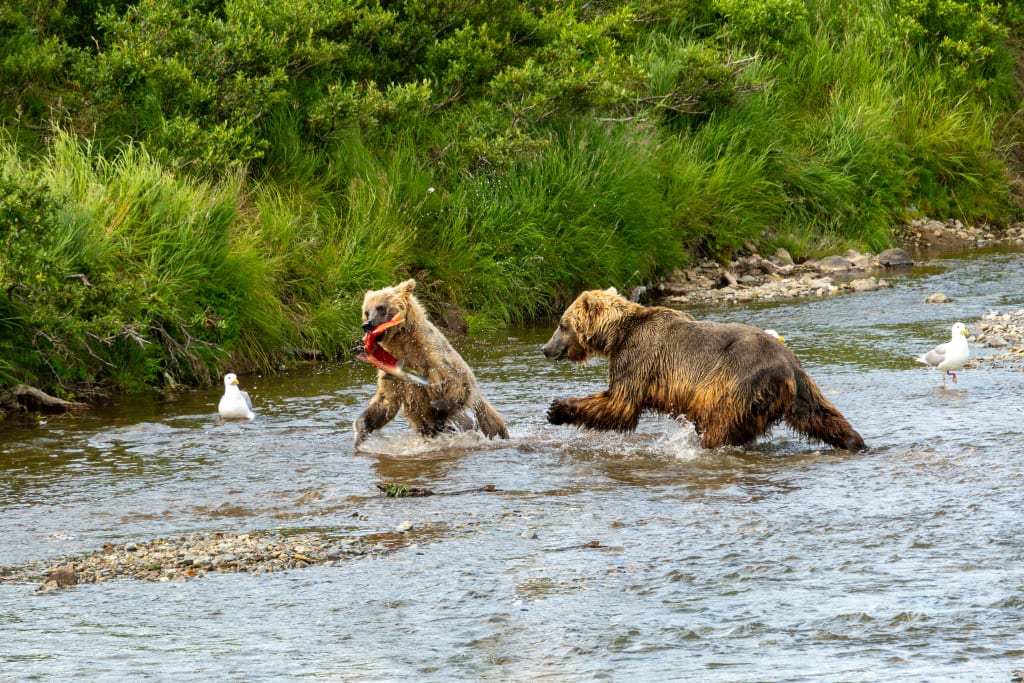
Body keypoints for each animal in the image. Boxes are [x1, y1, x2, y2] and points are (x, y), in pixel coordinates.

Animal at [354, 279, 509, 448]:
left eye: (381, 307)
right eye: (366, 311)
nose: (367, 325)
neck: (403, 343)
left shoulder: (435, 360)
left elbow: (458, 383)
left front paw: (436, 408)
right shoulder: (390, 370)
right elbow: (385, 401)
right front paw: (361, 430)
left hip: (481, 409)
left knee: (492, 423)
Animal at [542, 287, 866, 451]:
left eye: (561, 324)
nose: (545, 348)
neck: (616, 335)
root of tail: (786, 368)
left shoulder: (639, 357)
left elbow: (619, 403)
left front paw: (557, 409)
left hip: (735, 378)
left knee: (716, 418)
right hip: (802, 386)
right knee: (821, 415)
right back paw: (855, 442)